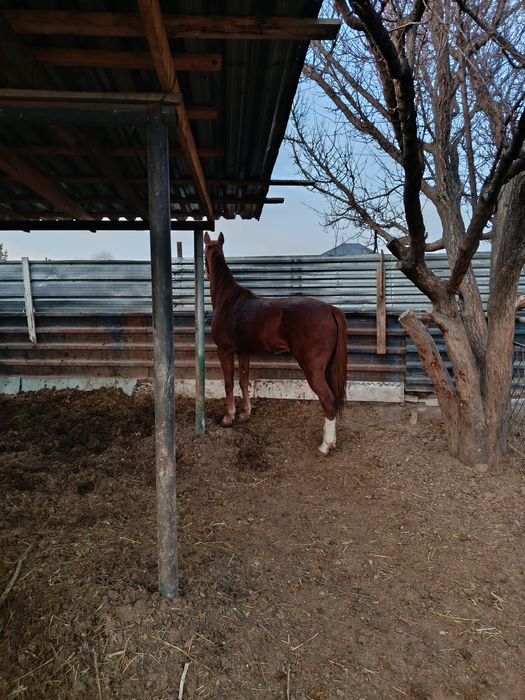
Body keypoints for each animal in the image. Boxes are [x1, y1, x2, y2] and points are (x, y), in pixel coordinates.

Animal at [203, 232, 348, 455]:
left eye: (203, 255)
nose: (206, 272)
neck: (228, 302)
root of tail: (331, 310)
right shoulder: (243, 351)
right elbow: (243, 380)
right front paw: (244, 413)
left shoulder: (225, 351)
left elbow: (228, 383)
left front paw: (228, 418)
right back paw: (328, 438)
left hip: (312, 368)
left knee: (328, 398)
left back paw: (325, 445)